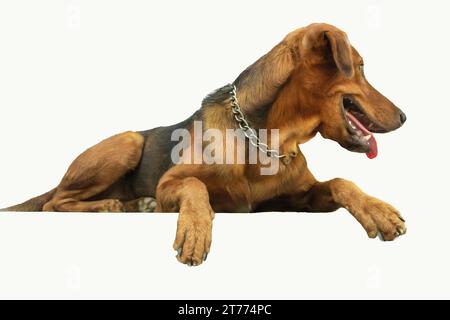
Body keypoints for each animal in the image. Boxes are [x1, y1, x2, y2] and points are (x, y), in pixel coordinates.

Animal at [0, 23, 408, 266]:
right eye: (360, 67)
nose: (405, 116)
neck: (268, 139)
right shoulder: (171, 181)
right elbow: (196, 185)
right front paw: (195, 229)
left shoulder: (296, 199)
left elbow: (340, 182)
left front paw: (377, 210)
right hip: (128, 142)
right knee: (54, 202)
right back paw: (108, 206)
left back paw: (132, 203)